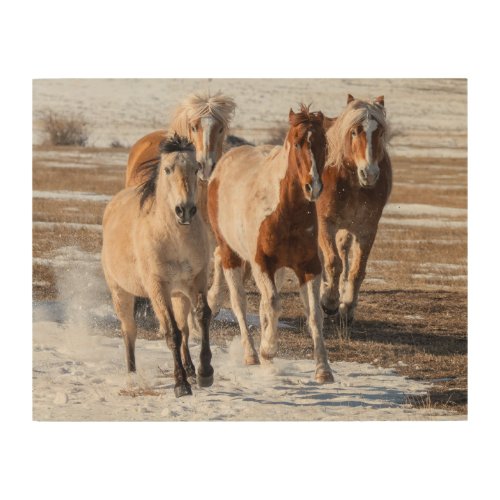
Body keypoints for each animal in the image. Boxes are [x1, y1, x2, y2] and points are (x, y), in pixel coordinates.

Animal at [101, 134, 213, 398]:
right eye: (167, 169)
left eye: (196, 168)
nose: (185, 210)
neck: (176, 238)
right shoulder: (157, 287)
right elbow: (171, 332)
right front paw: (181, 385)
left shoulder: (197, 280)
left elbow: (202, 316)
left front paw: (205, 373)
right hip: (121, 293)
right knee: (129, 331)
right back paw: (132, 376)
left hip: (179, 295)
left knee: (184, 328)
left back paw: (191, 368)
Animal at [209, 102, 334, 382]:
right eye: (297, 143)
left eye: (324, 144)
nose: (313, 187)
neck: (286, 211)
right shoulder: (261, 263)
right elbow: (274, 303)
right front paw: (268, 349)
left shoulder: (308, 266)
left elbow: (314, 314)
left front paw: (324, 370)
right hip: (231, 254)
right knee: (239, 301)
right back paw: (251, 354)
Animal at [318, 94, 392, 328]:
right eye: (354, 131)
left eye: (380, 132)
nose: (369, 173)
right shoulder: (325, 224)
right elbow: (333, 263)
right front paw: (329, 302)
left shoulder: (366, 229)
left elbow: (356, 269)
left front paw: (347, 307)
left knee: (344, 254)